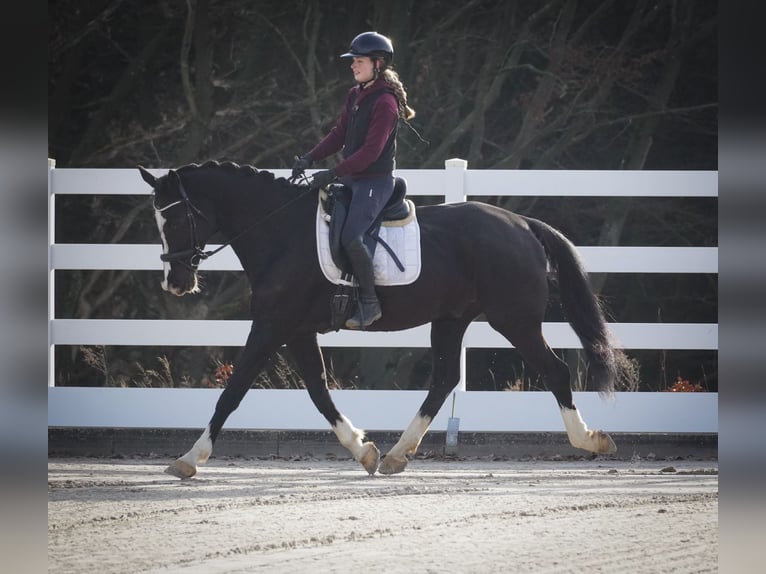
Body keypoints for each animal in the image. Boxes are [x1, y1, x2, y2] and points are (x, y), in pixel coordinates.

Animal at [138, 160, 623, 479]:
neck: (282, 232)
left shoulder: (272, 326)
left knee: (555, 371)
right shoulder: (296, 330)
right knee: (444, 379)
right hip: (452, 320)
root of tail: (522, 223)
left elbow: (233, 390)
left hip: (514, 321)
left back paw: (590, 440)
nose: (175, 282)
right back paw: (395, 455)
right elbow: (318, 392)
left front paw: (189, 459)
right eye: (156, 221)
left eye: (176, 219)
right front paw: (364, 450)